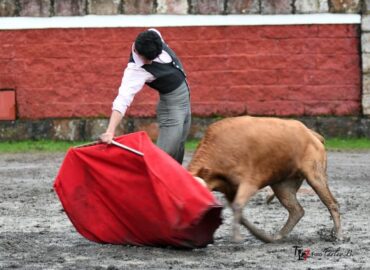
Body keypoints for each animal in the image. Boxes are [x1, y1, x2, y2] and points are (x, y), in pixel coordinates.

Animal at [189, 116, 342, 243]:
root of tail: (311, 134)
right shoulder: (229, 190)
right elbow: (238, 211)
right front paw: (257, 235)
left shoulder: (249, 182)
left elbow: (238, 206)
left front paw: (238, 237)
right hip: (282, 185)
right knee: (296, 210)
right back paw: (277, 236)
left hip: (315, 176)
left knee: (332, 203)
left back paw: (338, 235)